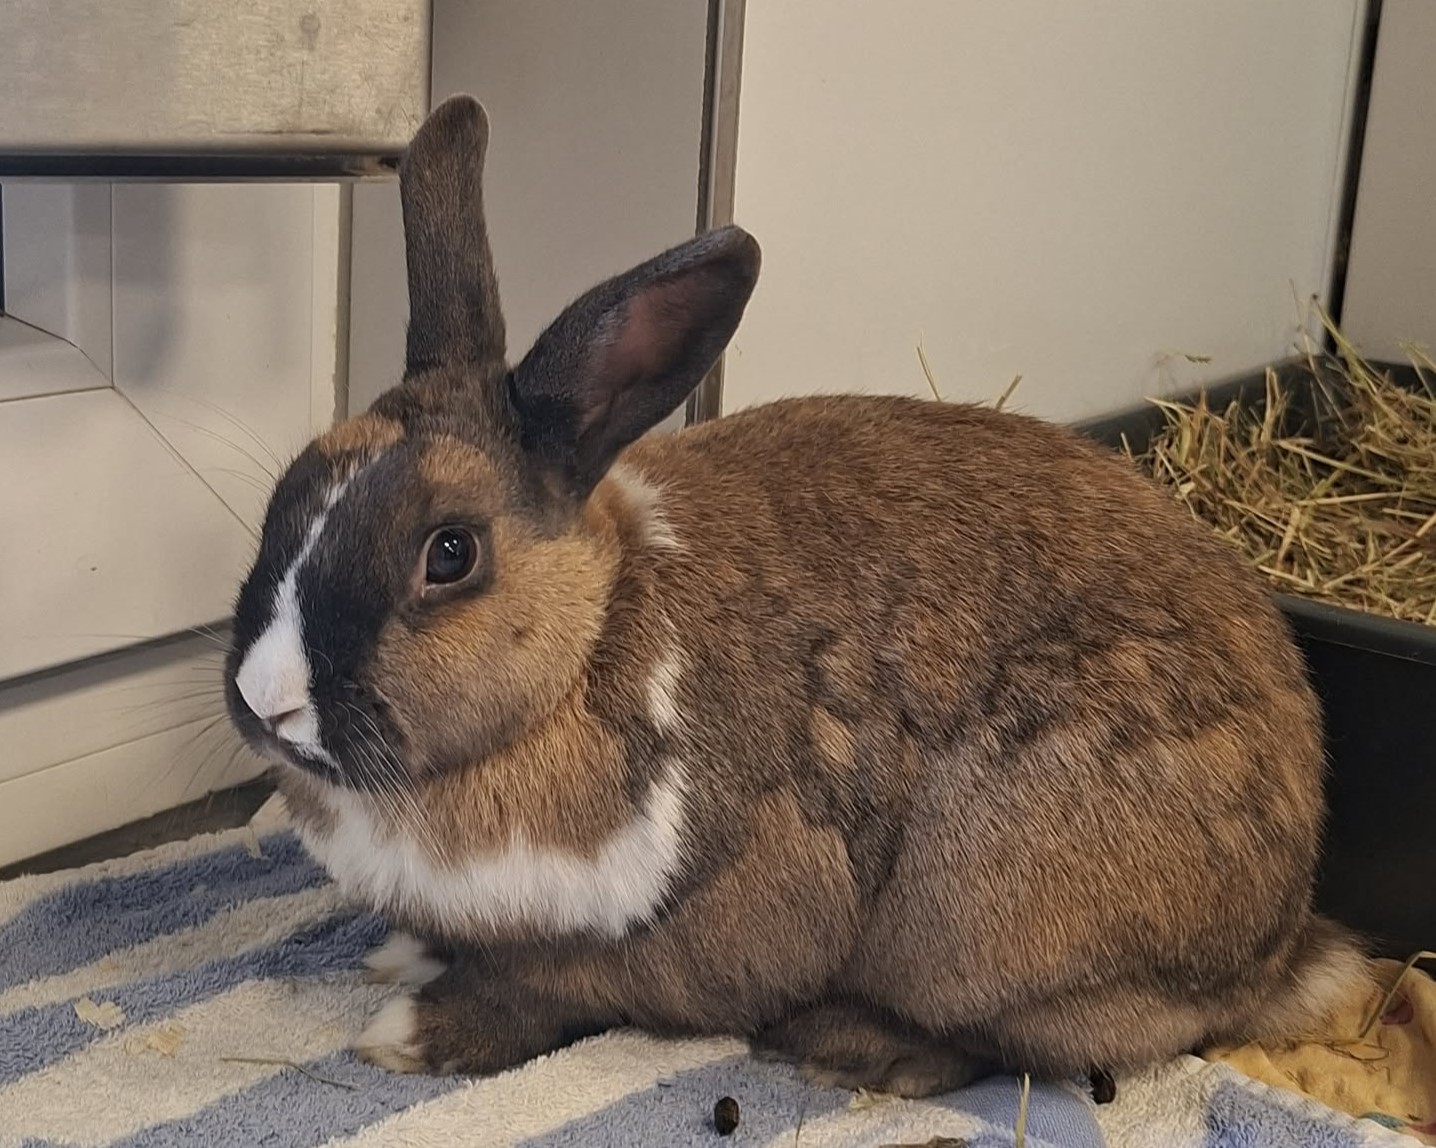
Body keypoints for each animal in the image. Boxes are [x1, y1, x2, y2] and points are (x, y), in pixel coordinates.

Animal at [224, 93, 1368, 1097]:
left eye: (450, 553)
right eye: (287, 493)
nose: (266, 698)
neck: (586, 648)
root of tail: (1280, 937)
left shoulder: (697, 927)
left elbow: (560, 985)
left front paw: (410, 1030)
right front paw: (406, 956)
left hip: (977, 928)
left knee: (1018, 1041)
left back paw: (848, 1044)